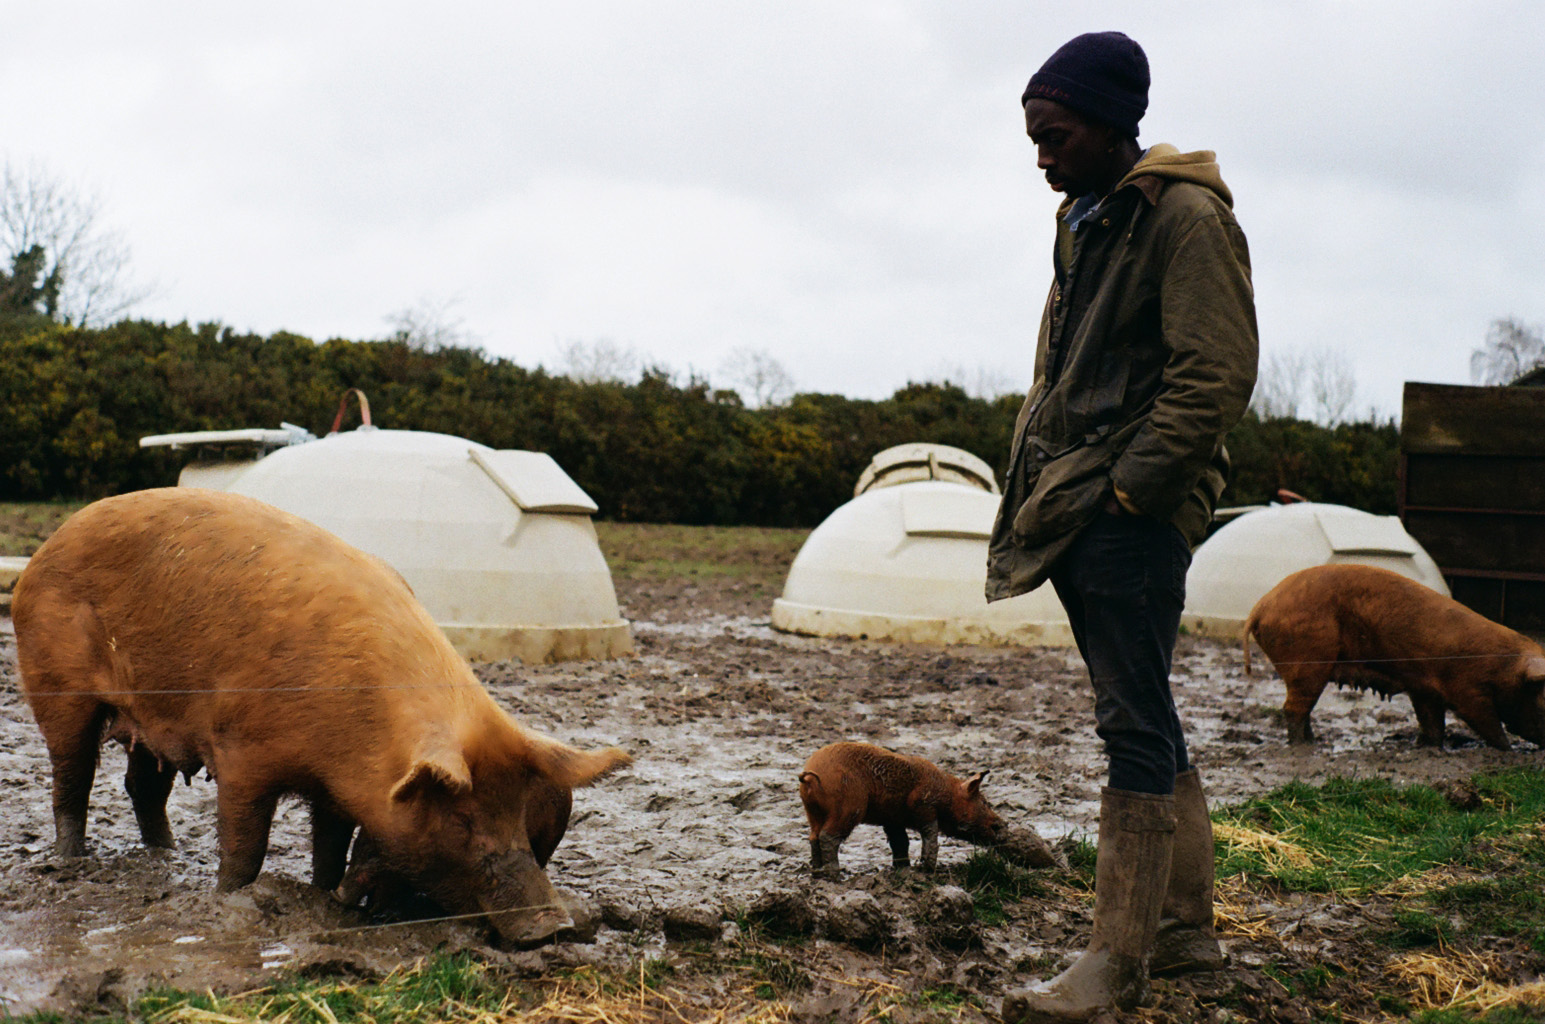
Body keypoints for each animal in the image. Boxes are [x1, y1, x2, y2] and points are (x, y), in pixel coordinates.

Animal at [12, 488, 630, 947]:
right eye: (461, 818)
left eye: (521, 813)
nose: (552, 927)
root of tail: (45, 548)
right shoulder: (241, 752)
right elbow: (244, 843)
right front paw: (231, 899)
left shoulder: (335, 788)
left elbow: (330, 843)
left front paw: (325, 895)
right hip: (57, 688)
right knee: (72, 776)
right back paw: (72, 859)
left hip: (149, 722)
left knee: (142, 785)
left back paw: (168, 853)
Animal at [798, 741, 1004, 878]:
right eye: (984, 802)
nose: (1002, 824)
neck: (946, 793)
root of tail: (810, 775)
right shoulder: (923, 805)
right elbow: (930, 834)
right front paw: (927, 869)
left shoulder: (892, 819)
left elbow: (900, 842)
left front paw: (904, 870)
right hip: (848, 808)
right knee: (827, 836)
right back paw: (836, 875)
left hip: (812, 812)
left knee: (814, 837)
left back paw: (817, 873)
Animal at [1244, 563, 1545, 750]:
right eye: (1542, 697)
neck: (1504, 667)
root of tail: (1259, 609)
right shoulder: (1467, 690)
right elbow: (1487, 722)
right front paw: (1509, 751)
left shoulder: (1424, 689)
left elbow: (1432, 722)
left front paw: (1428, 747)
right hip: (1307, 661)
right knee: (1292, 709)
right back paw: (1304, 745)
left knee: (1300, 709)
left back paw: (1313, 741)